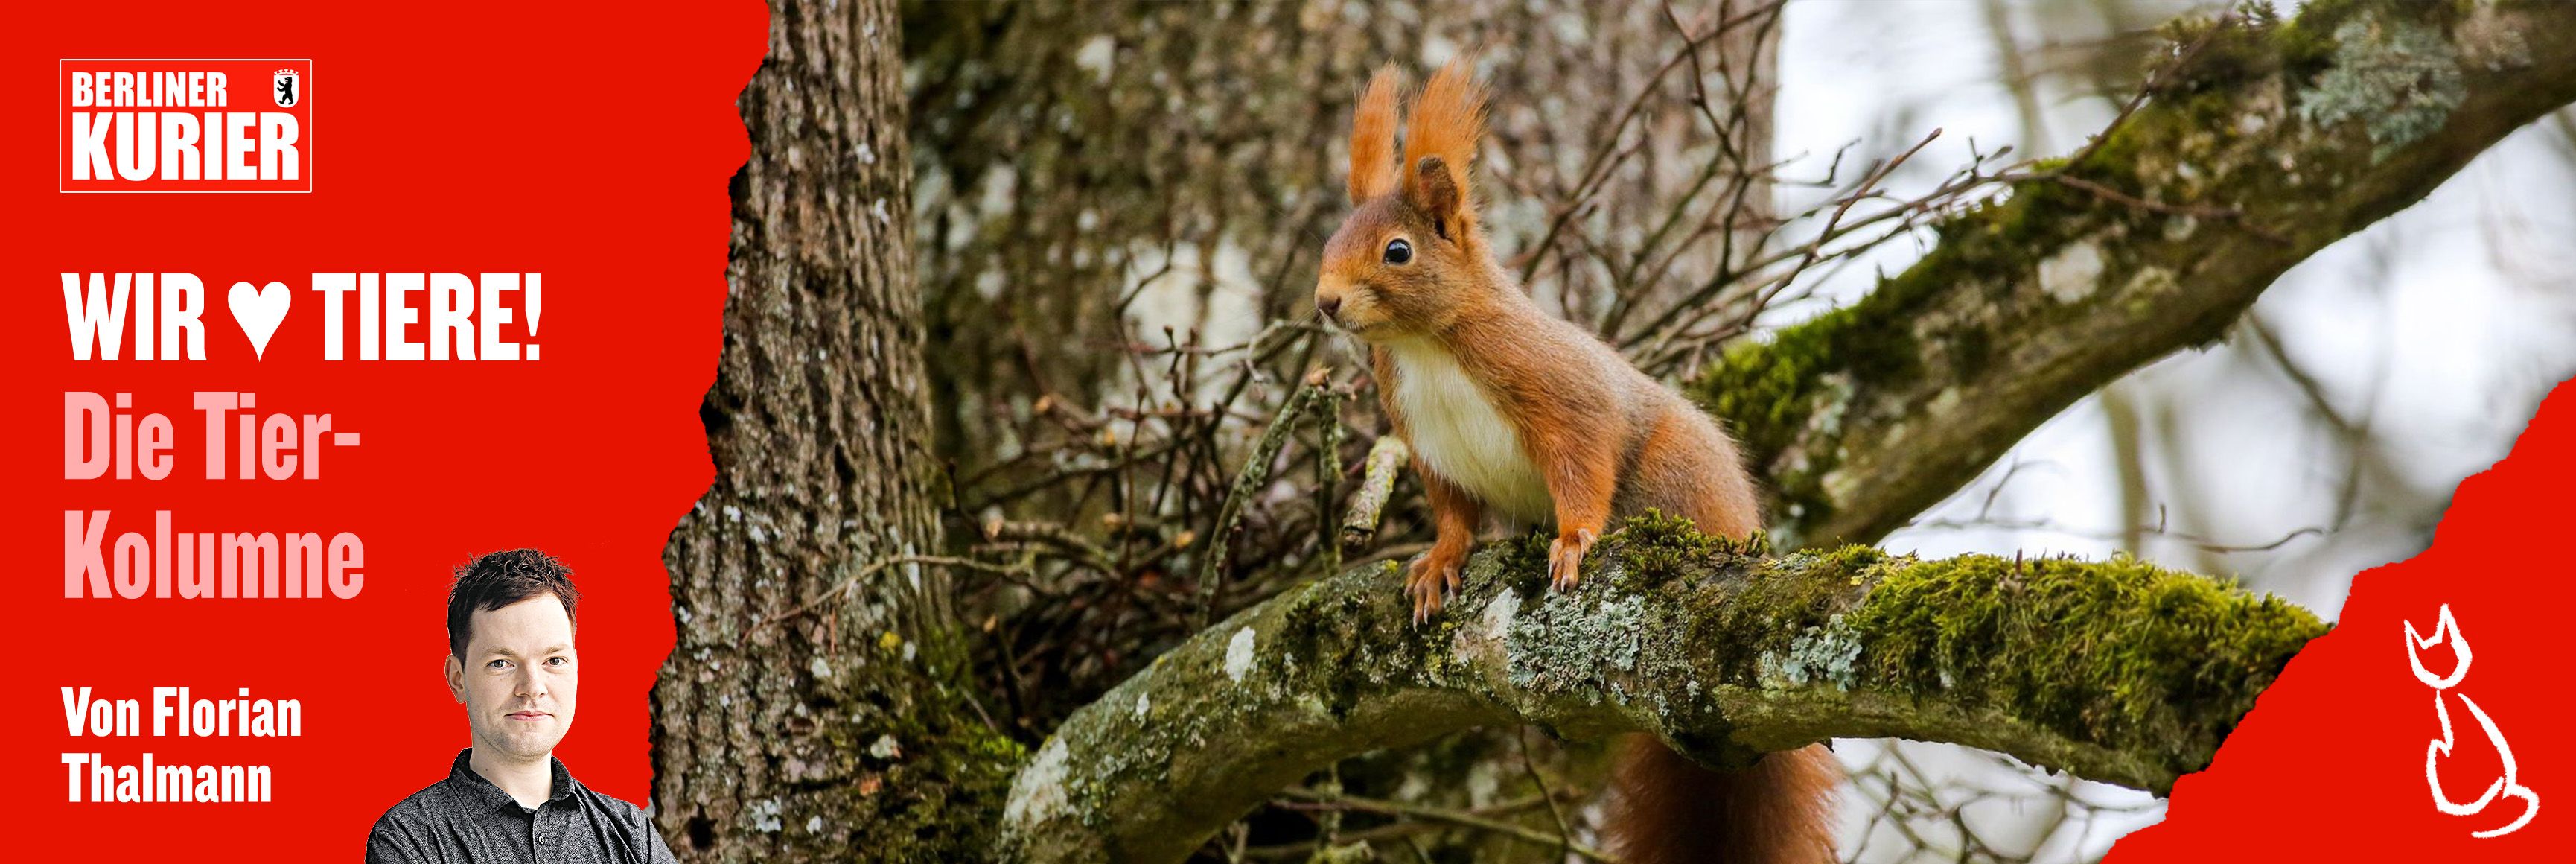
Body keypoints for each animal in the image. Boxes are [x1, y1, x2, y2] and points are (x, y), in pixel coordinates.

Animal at [1314, 60, 1839, 863]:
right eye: (1331, 240)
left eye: (1397, 251)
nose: (1325, 302)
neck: (1425, 346)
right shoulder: (1428, 448)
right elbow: (1454, 515)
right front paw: (1438, 562)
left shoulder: (1562, 398)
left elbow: (1583, 463)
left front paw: (1573, 540)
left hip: (1676, 477)